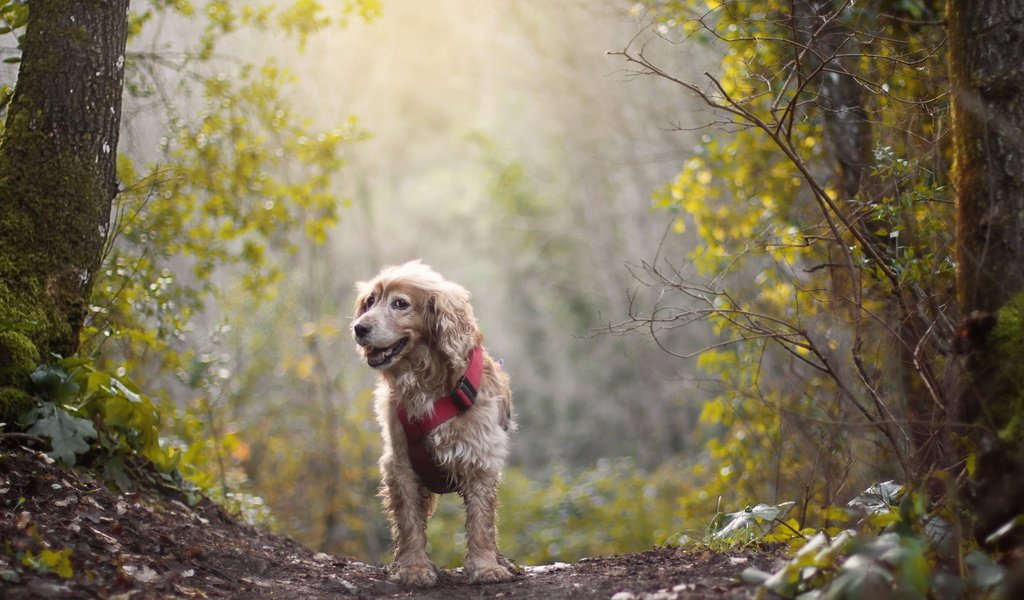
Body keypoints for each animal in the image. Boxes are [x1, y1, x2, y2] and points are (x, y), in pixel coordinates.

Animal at [352, 258, 516, 585]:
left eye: (400, 303)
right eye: (370, 302)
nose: (359, 328)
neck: (425, 381)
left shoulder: (480, 458)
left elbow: (481, 521)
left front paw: (485, 567)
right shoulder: (400, 462)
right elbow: (409, 523)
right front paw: (413, 568)